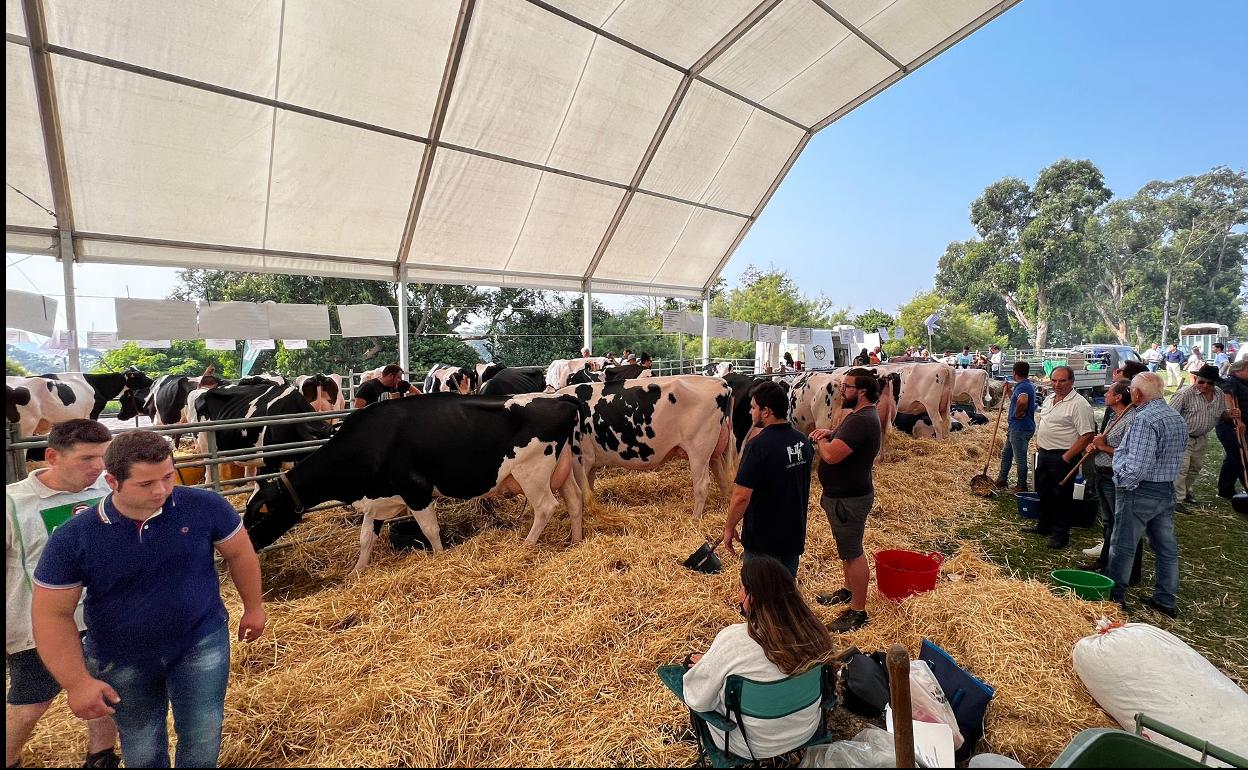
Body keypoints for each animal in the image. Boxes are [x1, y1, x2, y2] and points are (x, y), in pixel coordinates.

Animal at [248, 394, 594, 566]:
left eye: (257, 516)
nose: (248, 545)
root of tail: (559, 400)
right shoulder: (377, 499)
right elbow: (365, 538)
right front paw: (357, 572)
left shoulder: (416, 491)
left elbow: (430, 530)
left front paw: (439, 559)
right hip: (561, 469)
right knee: (575, 500)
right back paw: (575, 541)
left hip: (532, 471)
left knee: (546, 507)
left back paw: (526, 545)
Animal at [561, 374, 733, 519]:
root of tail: (721, 383)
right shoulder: (590, 462)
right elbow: (589, 488)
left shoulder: (581, 460)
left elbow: (584, 491)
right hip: (714, 451)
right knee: (722, 478)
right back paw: (725, 506)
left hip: (698, 450)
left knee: (702, 485)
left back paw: (695, 518)